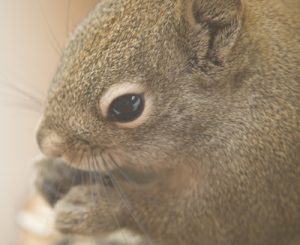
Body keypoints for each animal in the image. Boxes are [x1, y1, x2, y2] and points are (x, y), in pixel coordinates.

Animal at [34, 0, 300, 244]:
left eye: (126, 106)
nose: (46, 143)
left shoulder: (253, 191)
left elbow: (191, 225)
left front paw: (98, 207)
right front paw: (56, 172)